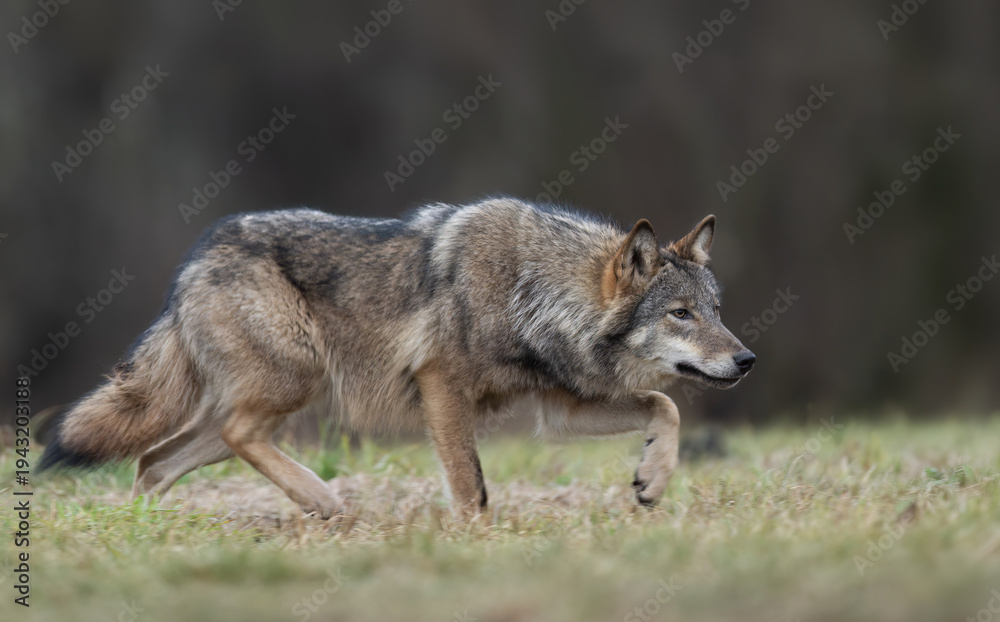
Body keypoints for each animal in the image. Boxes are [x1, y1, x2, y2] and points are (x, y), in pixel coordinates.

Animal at [40, 197, 755, 517]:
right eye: (681, 314)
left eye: (716, 310)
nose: (748, 360)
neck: (531, 288)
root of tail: (191, 265)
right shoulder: (443, 387)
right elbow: (471, 484)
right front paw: (475, 540)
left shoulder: (557, 408)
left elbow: (664, 407)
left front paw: (651, 480)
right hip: (292, 386)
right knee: (229, 438)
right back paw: (323, 498)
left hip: (248, 412)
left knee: (153, 462)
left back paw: (149, 532)